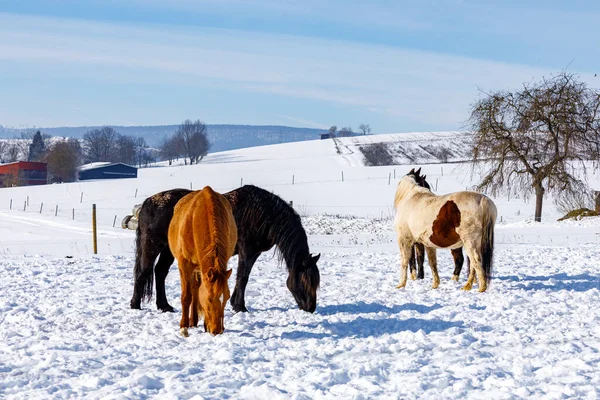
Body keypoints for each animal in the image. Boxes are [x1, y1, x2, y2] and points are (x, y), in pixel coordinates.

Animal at [129, 184, 322, 312]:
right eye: (305, 280)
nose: (310, 307)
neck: (262, 214)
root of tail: (147, 203)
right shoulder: (247, 251)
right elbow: (243, 277)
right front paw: (240, 307)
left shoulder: (254, 253)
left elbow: (242, 276)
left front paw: (234, 302)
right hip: (153, 245)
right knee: (143, 272)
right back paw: (135, 305)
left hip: (169, 250)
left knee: (160, 272)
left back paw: (164, 306)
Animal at [169, 186, 237, 336]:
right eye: (210, 298)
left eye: (227, 297)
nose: (217, 330)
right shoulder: (184, 264)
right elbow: (186, 296)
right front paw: (183, 327)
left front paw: (205, 324)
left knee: (196, 289)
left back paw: (194, 320)